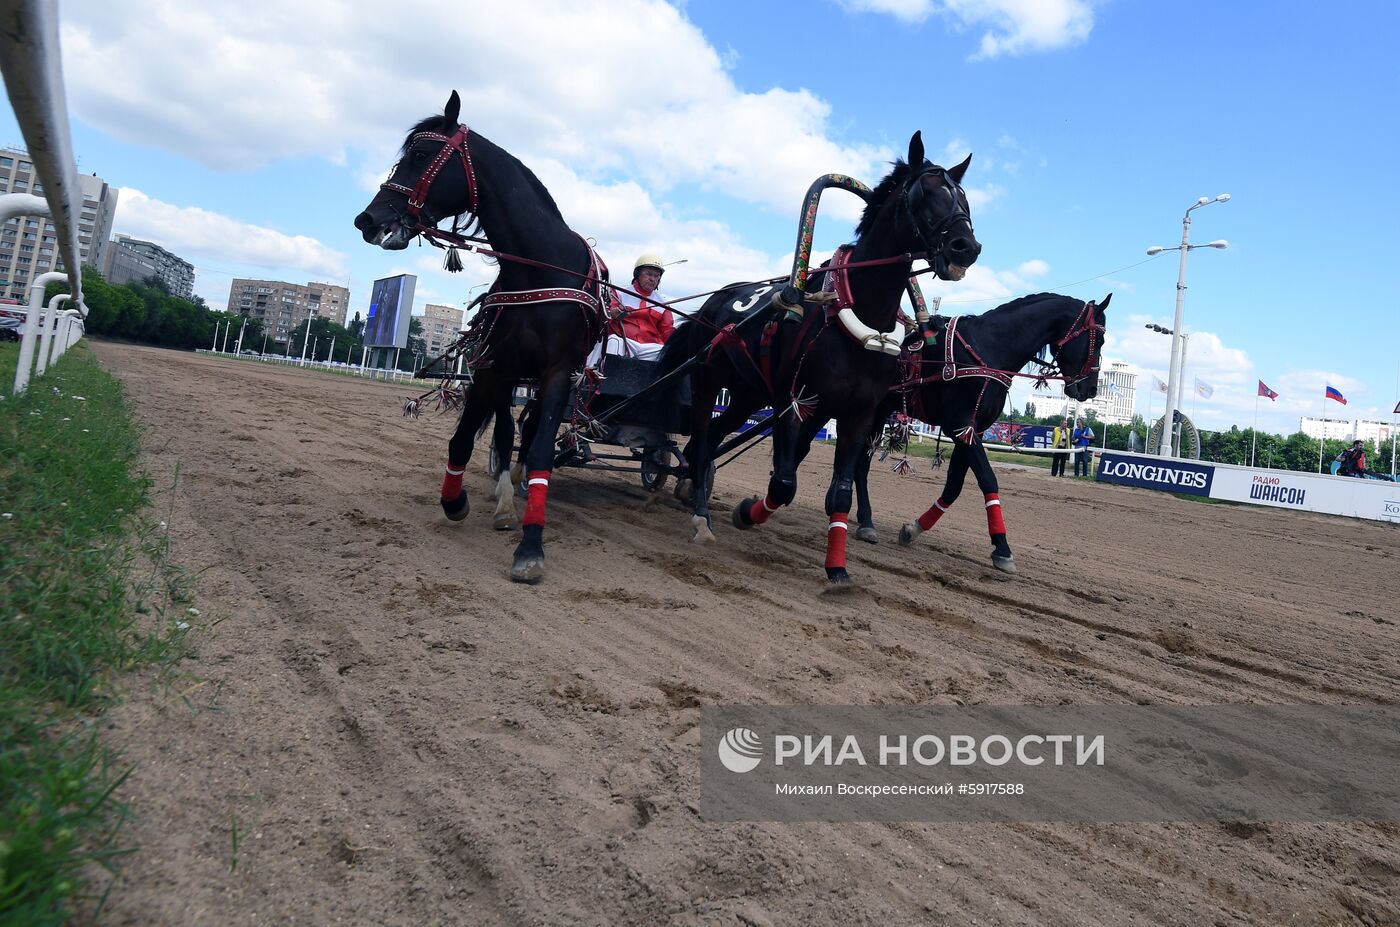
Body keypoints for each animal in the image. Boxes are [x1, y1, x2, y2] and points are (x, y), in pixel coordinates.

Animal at [352, 95, 604, 588]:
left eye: (420, 155)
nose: (367, 218)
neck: (540, 268)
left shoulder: (558, 372)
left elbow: (540, 448)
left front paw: (531, 545)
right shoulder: (494, 366)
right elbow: (465, 438)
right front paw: (455, 500)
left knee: (526, 430)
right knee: (505, 431)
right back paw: (504, 499)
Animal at [658, 134, 980, 585]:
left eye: (964, 198)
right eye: (925, 192)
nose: (966, 247)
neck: (858, 316)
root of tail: (716, 301)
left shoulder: (859, 413)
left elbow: (841, 491)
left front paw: (837, 569)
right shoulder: (794, 403)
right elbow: (783, 484)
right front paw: (747, 512)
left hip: (747, 394)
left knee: (717, 433)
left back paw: (691, 486)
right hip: (708, 378)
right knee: (704, 437)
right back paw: (701, 516)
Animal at [845, 294, 1108, 576]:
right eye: (1099, 340)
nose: (1090, 389)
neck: (987, 348)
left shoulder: (972, 431)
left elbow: (953, 486)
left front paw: (915, 528)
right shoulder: (959, 426)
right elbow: (988, 480)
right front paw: (1002, 548)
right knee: (860, 464)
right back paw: (865, 520)